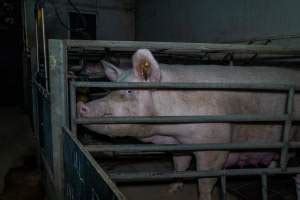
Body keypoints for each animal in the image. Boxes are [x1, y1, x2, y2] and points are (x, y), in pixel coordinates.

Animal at [78, 48, 300, 200]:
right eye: (110, 90)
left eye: (129, 91)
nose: (82, 106)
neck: (168, 133)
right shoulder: (180, 144)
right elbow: (180, 165)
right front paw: (170, 190)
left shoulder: (215, 145)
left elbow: (205, 180)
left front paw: (203, 197)